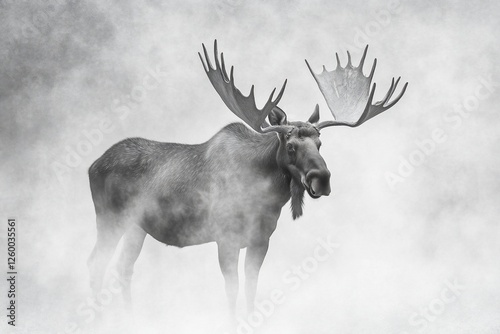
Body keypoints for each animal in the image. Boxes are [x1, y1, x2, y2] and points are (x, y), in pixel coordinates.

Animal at [86, 41, 406, 316]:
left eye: (320, 144)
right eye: (291, 146)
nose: (322, 179)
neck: (264, 199)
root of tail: (92, 165)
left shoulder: (261, 240)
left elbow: (252, 287)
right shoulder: (225, 238)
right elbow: (233, 290)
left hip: (137, 226)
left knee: (123, 267)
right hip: (109, 217)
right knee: (96, 262)